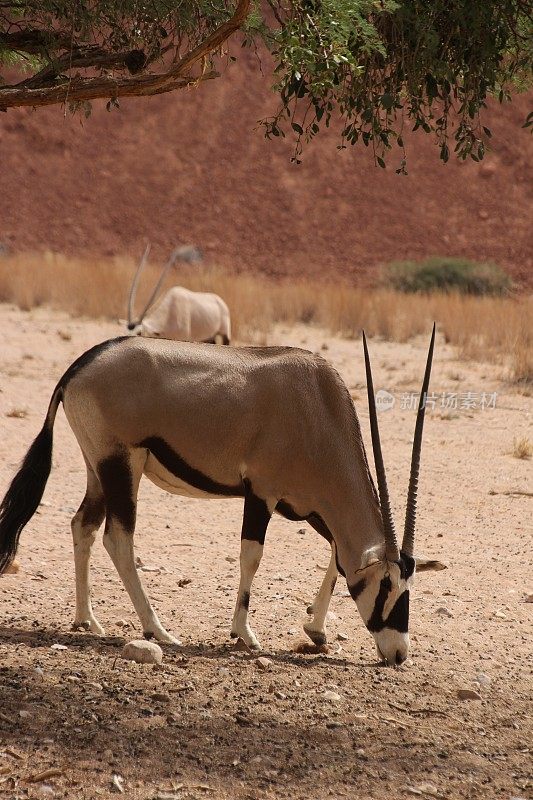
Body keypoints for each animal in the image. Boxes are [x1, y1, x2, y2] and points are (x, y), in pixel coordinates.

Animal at [0, 324, 444, 664]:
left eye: (409, 587)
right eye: (386, 586)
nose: (398, 654)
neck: (317, 407)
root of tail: (79, 366)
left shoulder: (308, 507)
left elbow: (337, 558)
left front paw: (315, 630)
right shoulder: (262, 493)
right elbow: (252, 556)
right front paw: (244, 633)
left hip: (98, 469)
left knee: (84, 526)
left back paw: (86, 619)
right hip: (121, 464)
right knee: (118, 539)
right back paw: (158, 630)